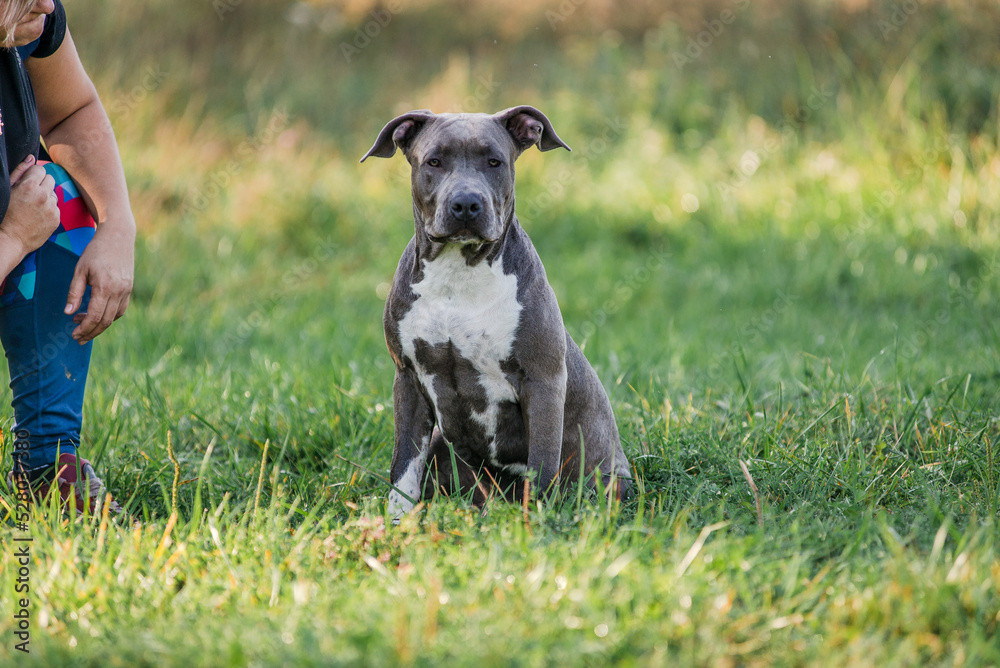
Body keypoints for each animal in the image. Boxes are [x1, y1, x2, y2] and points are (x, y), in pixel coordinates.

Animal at [364, 107, 632, 520]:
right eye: (434, 162)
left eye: (495, 162)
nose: (466, 204)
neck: (458, 274)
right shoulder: (407, 379)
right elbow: (404, 465)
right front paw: (396, 521)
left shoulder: (543, 380)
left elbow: (541, 463)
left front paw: (535, 521)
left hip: (611, 481)